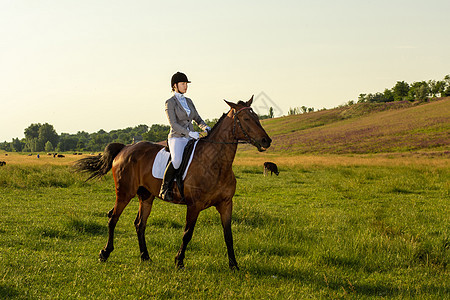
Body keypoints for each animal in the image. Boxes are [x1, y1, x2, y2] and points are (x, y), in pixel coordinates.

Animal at [74, 96, 270, 270]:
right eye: (246, 119)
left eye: (257, 117)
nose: (266, 141)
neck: (216, 163)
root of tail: (125, 148)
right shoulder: (194, 205)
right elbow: (187, 234)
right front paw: (179, 261)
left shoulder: (226, 204)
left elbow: (228, 235)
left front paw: (234, 265)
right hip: (124, 193)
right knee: (113, 218)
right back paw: (105, 253)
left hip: (146, 196)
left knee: (139, 224)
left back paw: (145, 256)